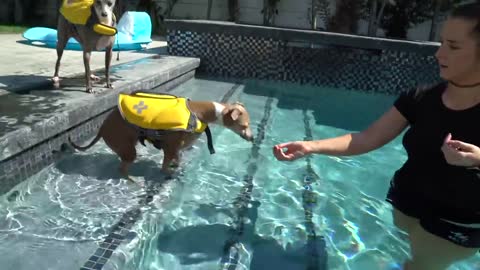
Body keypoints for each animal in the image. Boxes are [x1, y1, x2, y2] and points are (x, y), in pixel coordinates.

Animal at [68, 92, 255, 182]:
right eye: (244, 126)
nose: (253, 138)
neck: (197, 113)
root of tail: (101, 128)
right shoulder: (170, 146)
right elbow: (165, 165)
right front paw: (168, 172)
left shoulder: (176, 148)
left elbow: (177, 159)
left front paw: (176, 166)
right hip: (128, 149)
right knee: (122, 169)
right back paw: (131, 180)